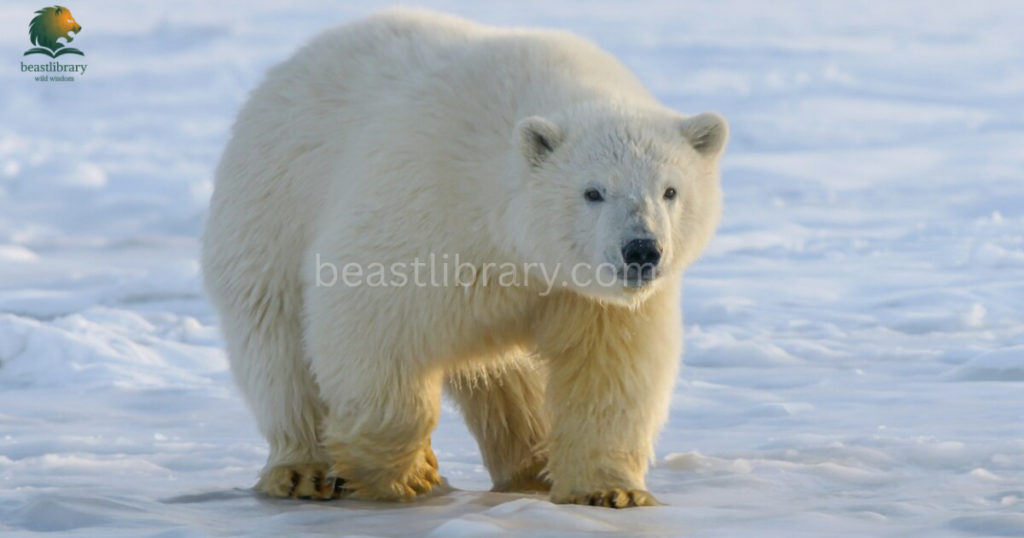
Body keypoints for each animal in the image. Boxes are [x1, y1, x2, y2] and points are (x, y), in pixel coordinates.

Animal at [201, 8, 727, 508]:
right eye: (593, 191)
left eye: (670, 190)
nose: (641, 250)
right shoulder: (422, 205)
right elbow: (368, 321)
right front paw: (407, 473)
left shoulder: (586, 296)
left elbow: (609, 370)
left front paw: (611, 491)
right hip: (271, 211)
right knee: (278, 349)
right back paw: (302, 470)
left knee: (508, 382)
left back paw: (530, 466)